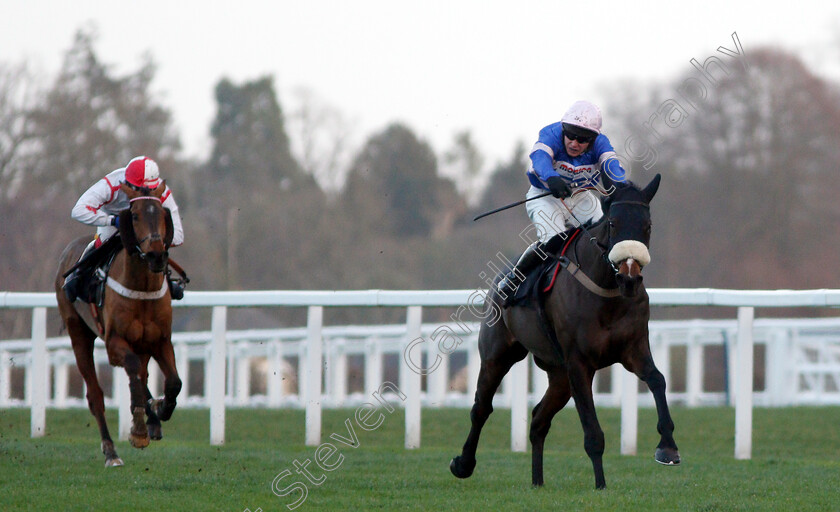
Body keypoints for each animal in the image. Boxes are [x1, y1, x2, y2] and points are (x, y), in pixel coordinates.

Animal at [55, 181, 183, 468]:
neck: (142, 289)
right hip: (78, 333)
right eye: (133, 216)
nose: (156, 256)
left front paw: (159, 409)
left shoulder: (160, 340)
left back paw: (152, 419)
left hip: (141, 343)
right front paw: (138, 430)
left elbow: (173, 382)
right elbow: (133, 373)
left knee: (143, 376)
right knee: (96, 396)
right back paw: (111, 451)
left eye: (163, 214)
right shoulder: (114, 343)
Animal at [450, 175, 680, 488]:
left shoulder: (634, 350)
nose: (630, 277)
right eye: (613, 223)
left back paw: (537, 481)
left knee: (538, 419)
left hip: (558, 375)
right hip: (498, 354)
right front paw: (601, 485)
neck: (607, 292)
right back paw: (463, 464)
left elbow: (658, 380)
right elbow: (592, 432)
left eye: (648, 226)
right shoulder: (579, 363)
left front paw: (667, 448)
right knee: (481, 408)